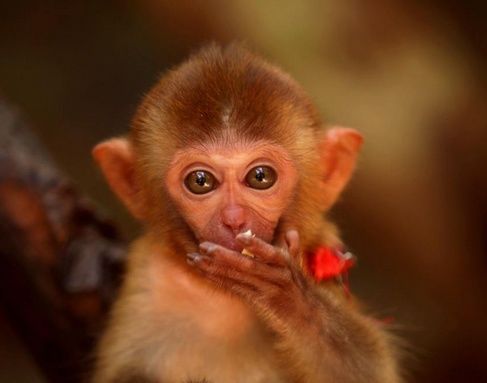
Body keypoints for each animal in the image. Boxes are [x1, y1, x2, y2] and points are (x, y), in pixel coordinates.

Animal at [92, 43, 404, 382]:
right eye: (200, 181)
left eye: (260, 177)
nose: (234, 219)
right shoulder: (146, 283)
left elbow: (368, 371)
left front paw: (287, 296)